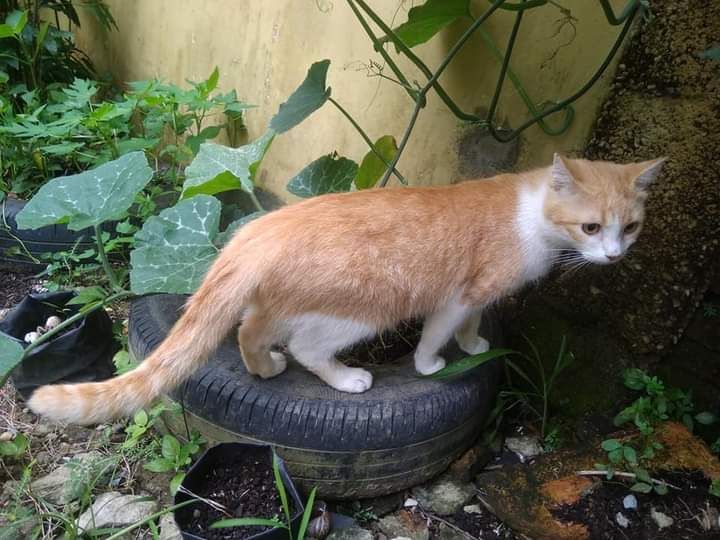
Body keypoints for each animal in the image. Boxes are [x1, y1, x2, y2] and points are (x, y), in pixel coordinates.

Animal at [28, 154, 664, 424]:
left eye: (631, 227)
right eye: (591, 227)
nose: (614, 255)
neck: (530, 214)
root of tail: (259, 229)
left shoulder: (477, 298)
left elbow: (470, 328)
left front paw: (475, 346)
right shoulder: (456, 295)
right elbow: (436, 336)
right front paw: (434, 365)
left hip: (282, 302)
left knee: (249, 330)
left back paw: (263, 369)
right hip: (362, 309)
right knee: (307, 348)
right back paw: (344, 378)